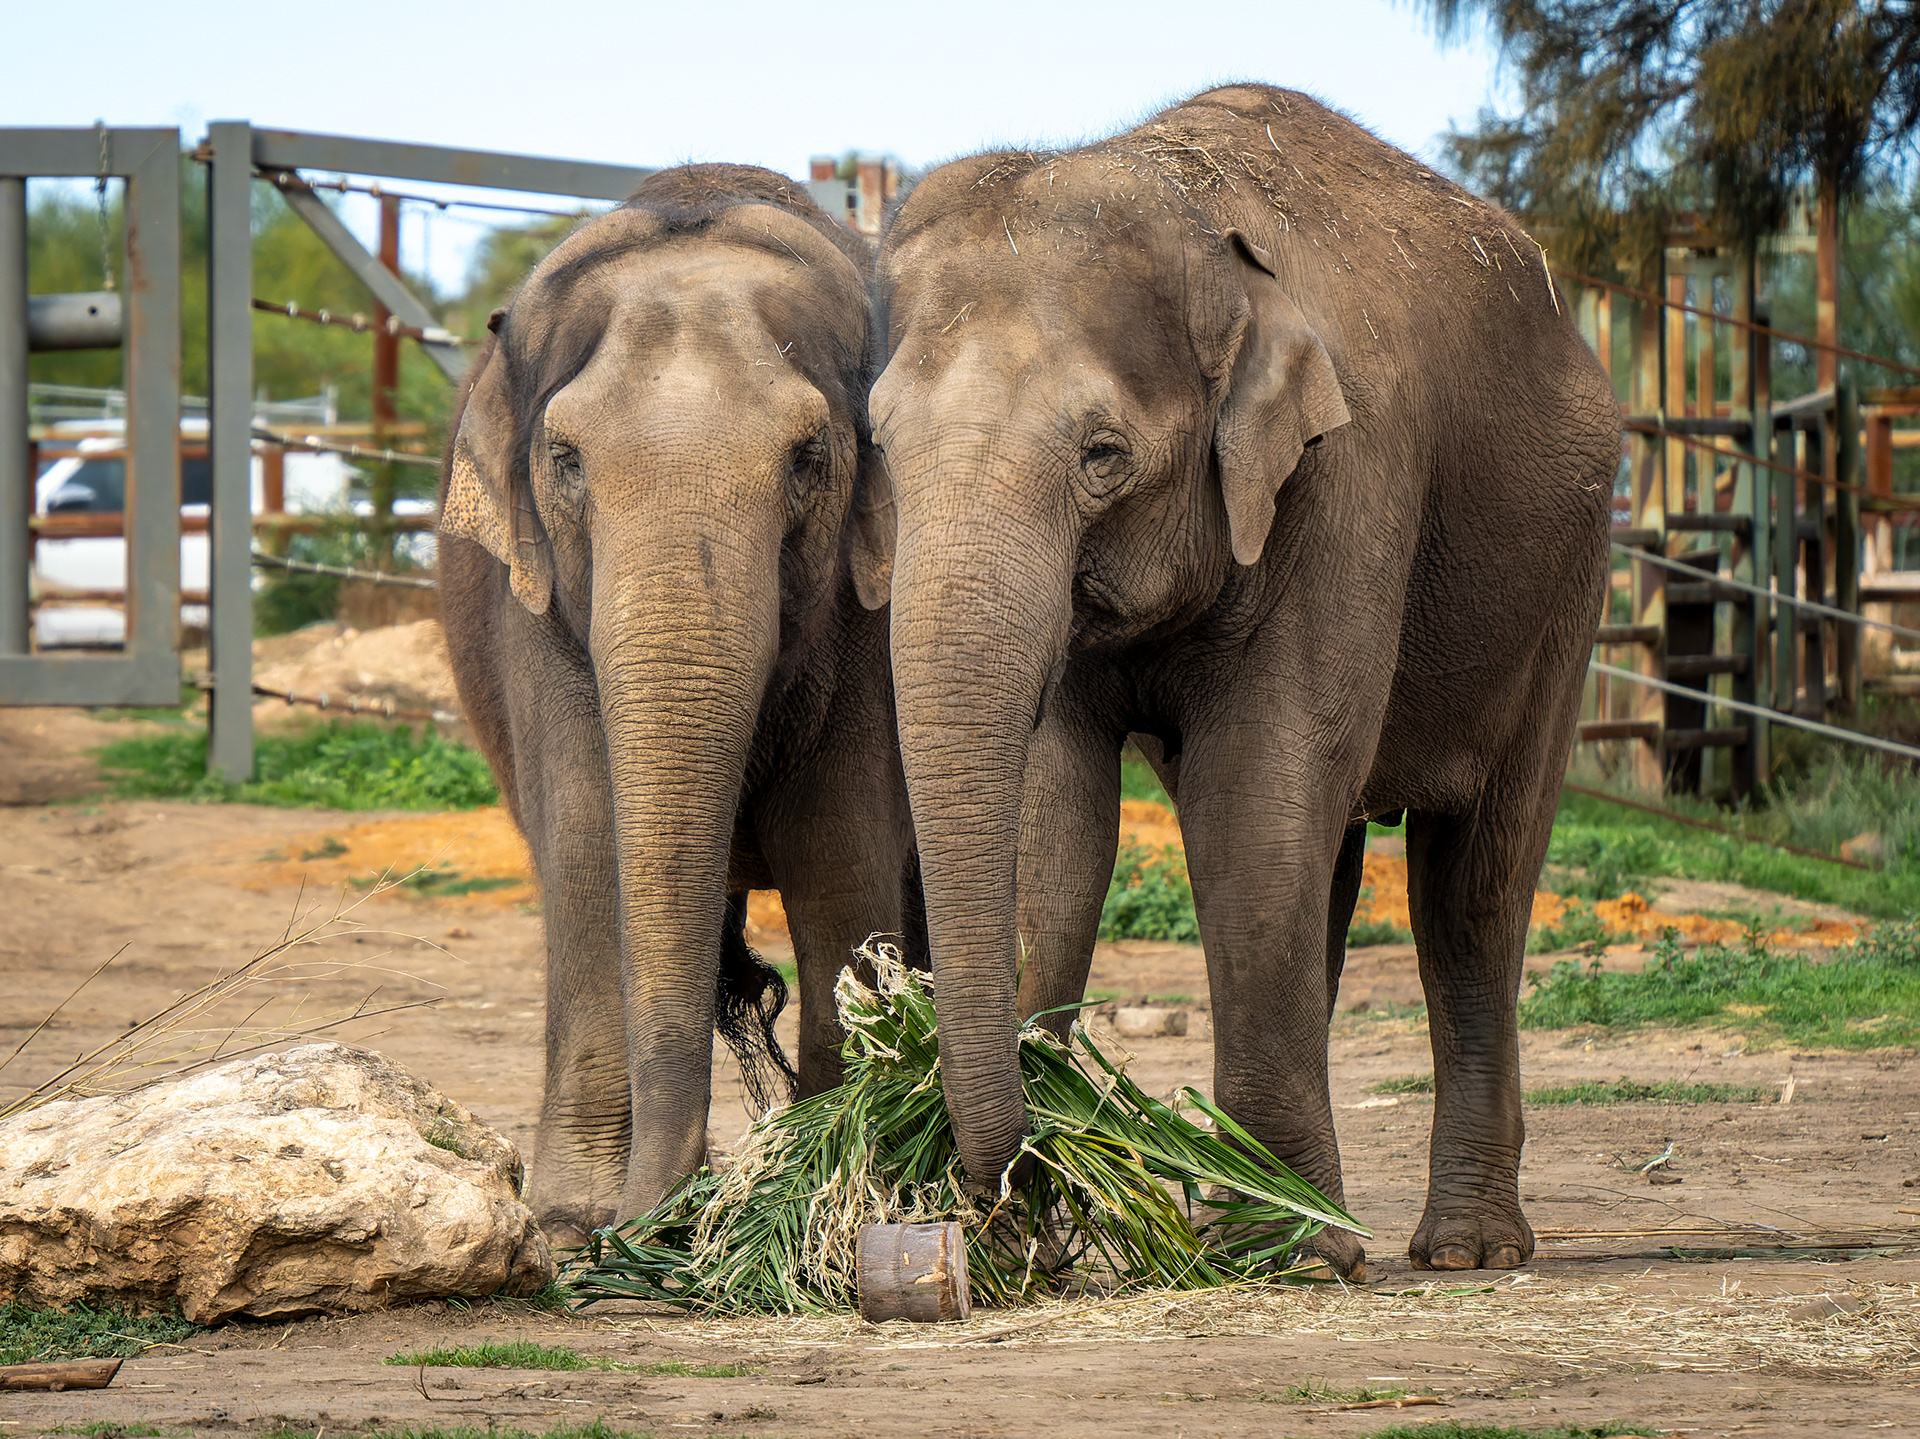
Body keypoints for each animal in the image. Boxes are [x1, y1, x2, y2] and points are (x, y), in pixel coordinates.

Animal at [438, 164, 912, 1246]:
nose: (654, 1226)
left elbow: (841, 853)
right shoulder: (536, 616)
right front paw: (570, 1225)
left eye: (809, 457)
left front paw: (820, 1185)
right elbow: (585, 844)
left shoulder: (867, 618)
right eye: (566, 460)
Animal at [855, 85, 1618, 1277]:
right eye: (880, 445)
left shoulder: (1347, 480)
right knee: (1334, 870)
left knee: (1473, 890)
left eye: (1103, 454)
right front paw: (1039, 1230)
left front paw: (1282, 1255)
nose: (1006, 1190)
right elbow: (1059, 817)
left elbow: (1252, 800)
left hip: (1566, 581)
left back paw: (1459, 1250)